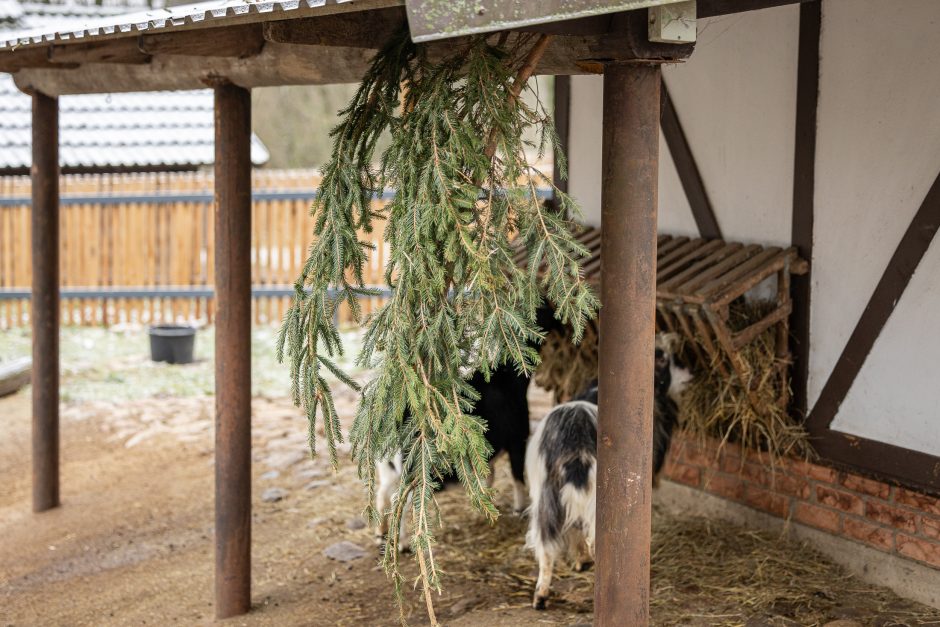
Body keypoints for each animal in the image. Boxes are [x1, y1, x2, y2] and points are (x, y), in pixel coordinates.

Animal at [520, 336, 692, 612]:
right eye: (665, 359)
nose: (688, 373)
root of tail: (575, 442)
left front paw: (579, 560)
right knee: (598, 545)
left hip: (545, 499)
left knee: (546, 548)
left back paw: (541, 596)